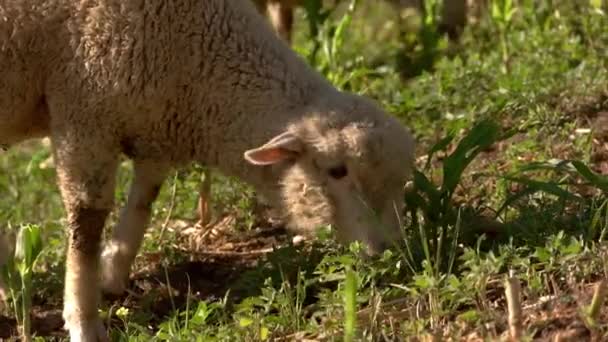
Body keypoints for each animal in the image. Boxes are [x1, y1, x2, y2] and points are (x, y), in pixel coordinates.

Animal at [0, 0, 414, 340]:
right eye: (337, 171)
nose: (391, 252)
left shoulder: (154, 128)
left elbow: (142, 206)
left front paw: (112, 276)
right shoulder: (84, 120)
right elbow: (85, 229)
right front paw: (84, 322)